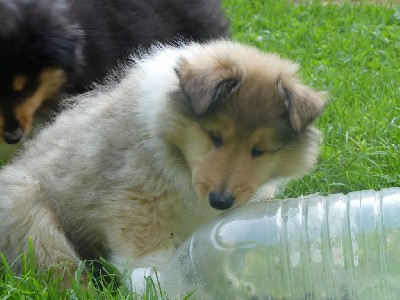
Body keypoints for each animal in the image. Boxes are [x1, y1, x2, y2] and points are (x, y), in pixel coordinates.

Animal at [0, 40, 326, 286]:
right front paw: (154, 282)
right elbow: (147, 250)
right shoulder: (135, 197)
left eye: (259, 150)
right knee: (57, 264)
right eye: (215, 137)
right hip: (24, 200)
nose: (220, 201)